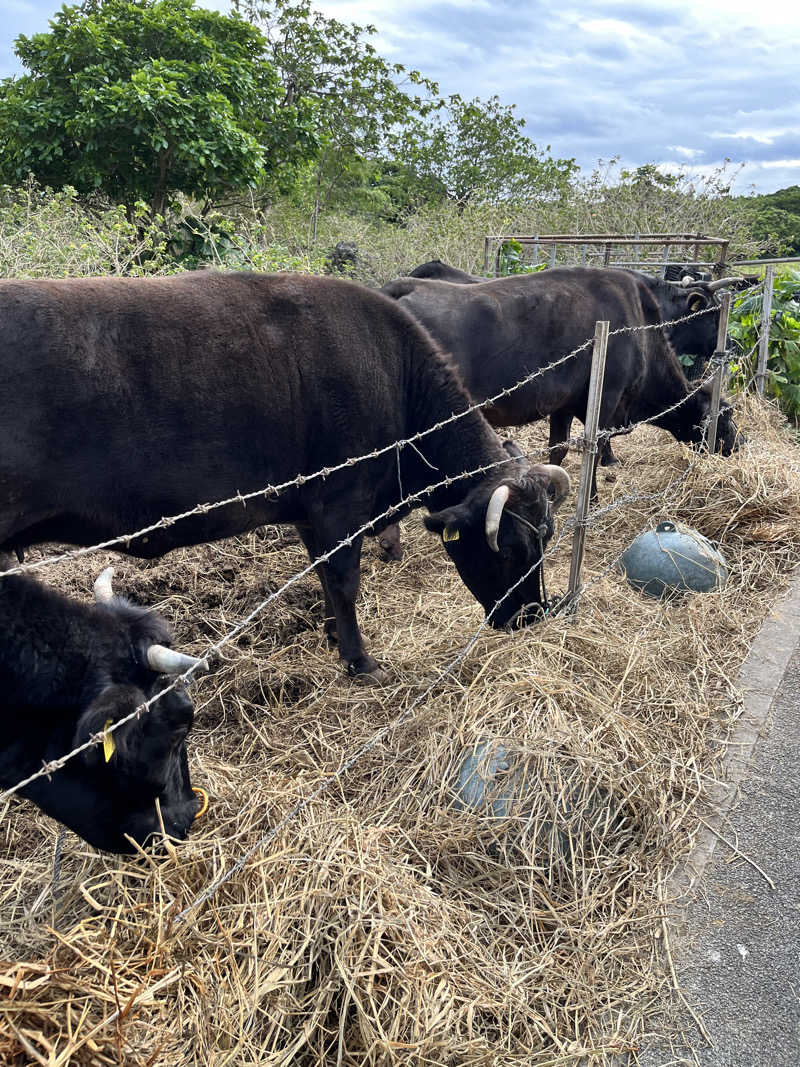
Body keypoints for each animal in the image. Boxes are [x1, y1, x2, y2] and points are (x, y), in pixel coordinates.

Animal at [3, 273, 571, 682]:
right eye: (511, 548)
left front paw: (334, 635)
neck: (395, 379)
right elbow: (344, 580)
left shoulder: (309, 513)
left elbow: (323, 576)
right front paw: (360, 662)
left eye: (546, 538)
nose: (533, 616)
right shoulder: (340, 504)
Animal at [381, 266, 738, 499]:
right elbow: (596, 448)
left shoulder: (563, 405)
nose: (740, 444)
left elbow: (559, 449)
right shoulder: (605, 401)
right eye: (726, 416)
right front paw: (592, 495)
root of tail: (402, 286)